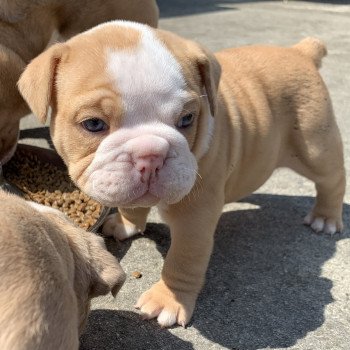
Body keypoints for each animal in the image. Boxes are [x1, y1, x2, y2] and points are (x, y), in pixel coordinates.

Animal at [17, 21, 346, 328]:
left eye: (187, 119)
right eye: (93, 124)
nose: (150, 155)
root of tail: (300, 51)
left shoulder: (195, 216)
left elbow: (184, 258)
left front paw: (169, 301)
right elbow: (131, 205)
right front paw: (126, 224)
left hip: (315, 145)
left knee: (332, 178)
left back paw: (326, 218)